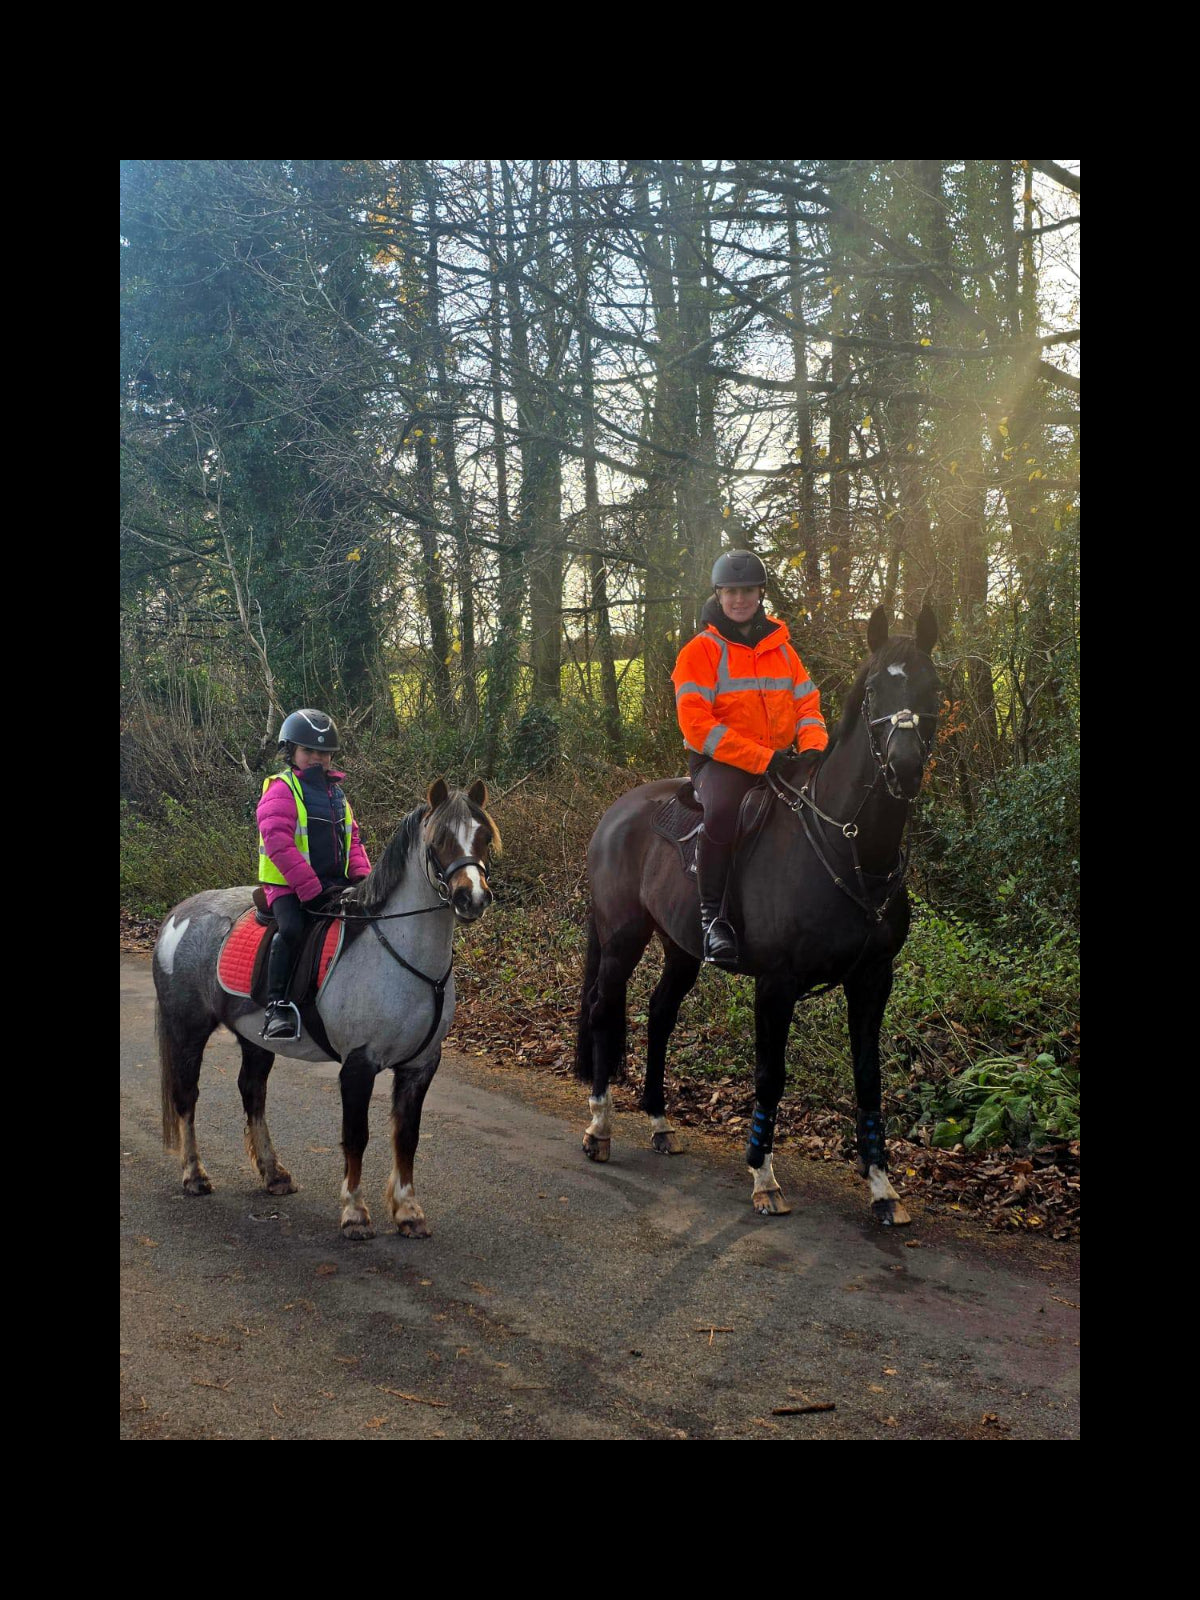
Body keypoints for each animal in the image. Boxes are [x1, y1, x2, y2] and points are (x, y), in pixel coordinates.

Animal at [154, 778, 500, 1240]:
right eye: (439, 840)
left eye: (483, 837)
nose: (471, 898)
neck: (400, 955)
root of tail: (179, 914)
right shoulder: (358, 1064)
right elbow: (356, 1136)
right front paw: (354, 1213)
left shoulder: (421, 1066)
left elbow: (407, 1137)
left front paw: (408, 1212)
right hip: (188, 1029)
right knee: (186, 1096)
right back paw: (194, 1175)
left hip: (254, 1038)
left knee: (252, 1091)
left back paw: (274, 1174)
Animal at [574, 606, 940, 1225]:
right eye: (873, 689)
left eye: (930, 685)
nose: (905, 766)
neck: (847, 845)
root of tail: (615, 813)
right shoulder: (777, 983)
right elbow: (770, 1076)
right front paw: (763, 1176)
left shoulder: (873, 980)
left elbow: (868, 1078)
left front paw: (882, 1186)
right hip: (622, 937)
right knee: (604, 1009)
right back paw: (600, 1127)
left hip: (681, 948)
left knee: (660, 1014)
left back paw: (660, 1121)